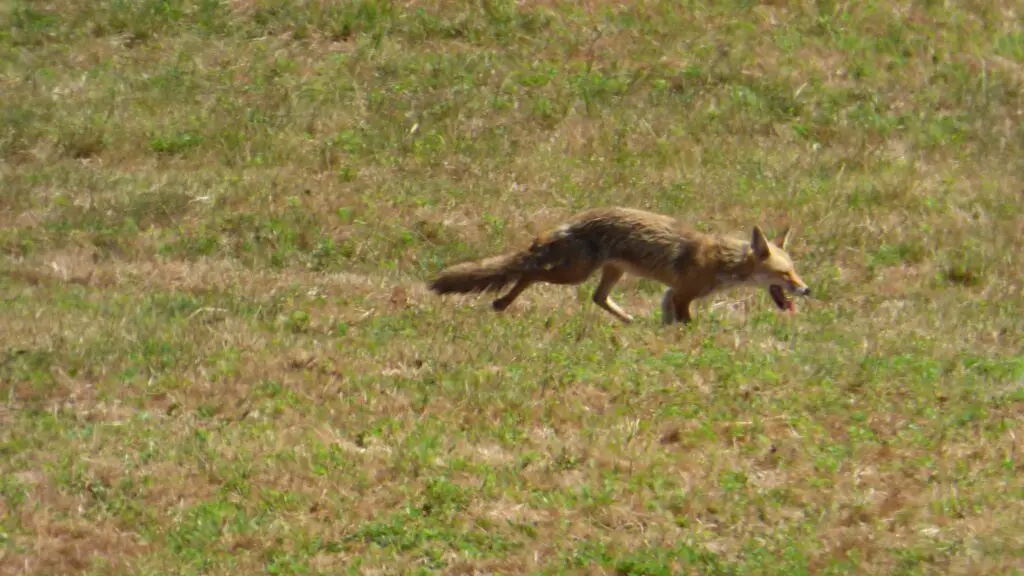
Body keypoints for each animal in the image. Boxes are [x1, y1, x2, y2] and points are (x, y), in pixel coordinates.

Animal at [423, 204, 806, 323]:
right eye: (785, 274)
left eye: (795, 271)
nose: (806, 289)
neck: (723, 261)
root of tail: (569, 222)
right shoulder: (683, 295)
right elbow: (688, 324)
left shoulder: (670, 294)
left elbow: (669, 322)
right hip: (575, 274)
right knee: (529, 273)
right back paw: (502, 302)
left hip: (610, 272)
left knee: (598, 298)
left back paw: (628, 321)